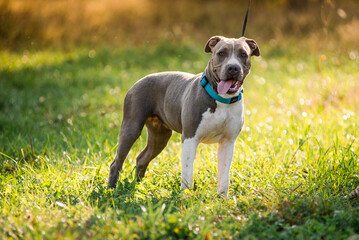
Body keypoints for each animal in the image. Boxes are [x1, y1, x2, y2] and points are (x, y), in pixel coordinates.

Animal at [108, 35, 260, 197]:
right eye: (221, 53)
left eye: (243, 54)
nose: (233, 67)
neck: (221, 99)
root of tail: (139, 80)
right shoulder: (189, 138)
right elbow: (187, 171)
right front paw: (185, 196)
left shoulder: (228, 142)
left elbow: (224, 175)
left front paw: (222, 198)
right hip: (131, 127)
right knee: (116, 163)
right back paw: (111, 191)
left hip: (160, 136)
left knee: (142, 158)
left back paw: (137, 187)